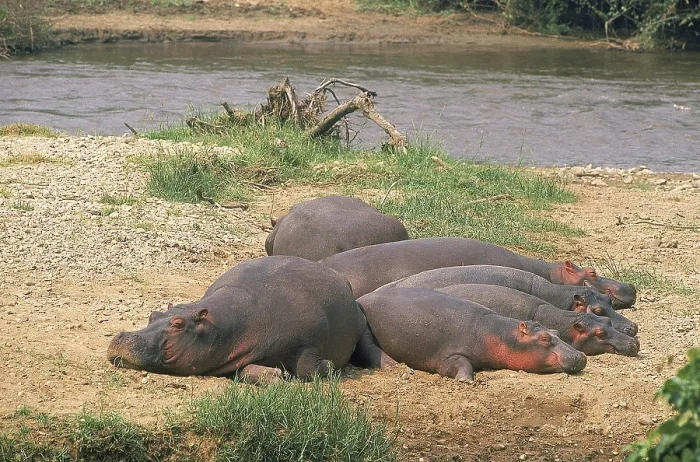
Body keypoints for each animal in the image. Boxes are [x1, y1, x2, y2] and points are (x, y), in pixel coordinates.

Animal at [107, 256, 366, 382]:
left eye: (178, 324)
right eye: (153, 315)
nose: (122, 336)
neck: (222, 325)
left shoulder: (310, 339)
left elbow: (307, 368)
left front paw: (328, 365)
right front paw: (276, 375)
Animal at [354, 288, 587, 380]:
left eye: (556, 332)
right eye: (545, 338)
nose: (581, 356)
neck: (500, 333)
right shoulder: (448, 356)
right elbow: (461, 364)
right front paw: (466, 381)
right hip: (365, 329)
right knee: (372, 350)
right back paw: (397, 367)